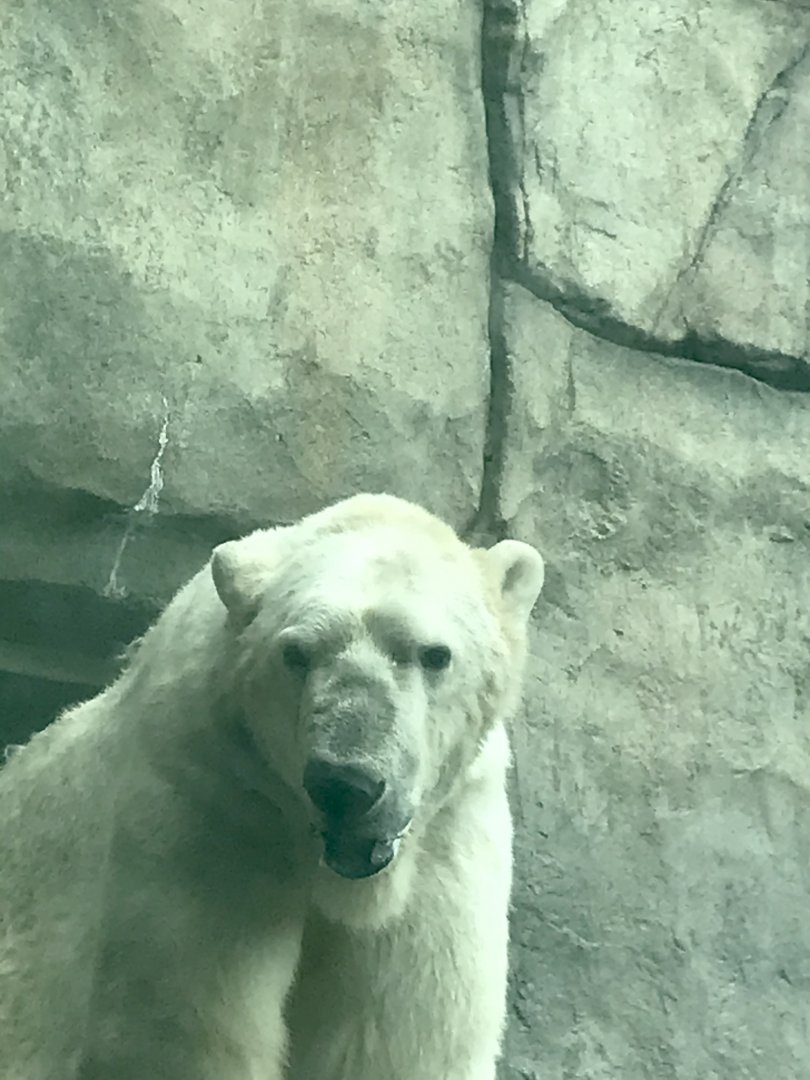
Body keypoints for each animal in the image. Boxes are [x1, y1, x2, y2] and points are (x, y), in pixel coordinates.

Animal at [0, 492, 544, 1080]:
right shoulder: (209, 814)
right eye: (296, 653)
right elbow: (189, 1033)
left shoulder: (447, 841)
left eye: (434, 654)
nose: (347, 786)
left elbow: (399, 1040)